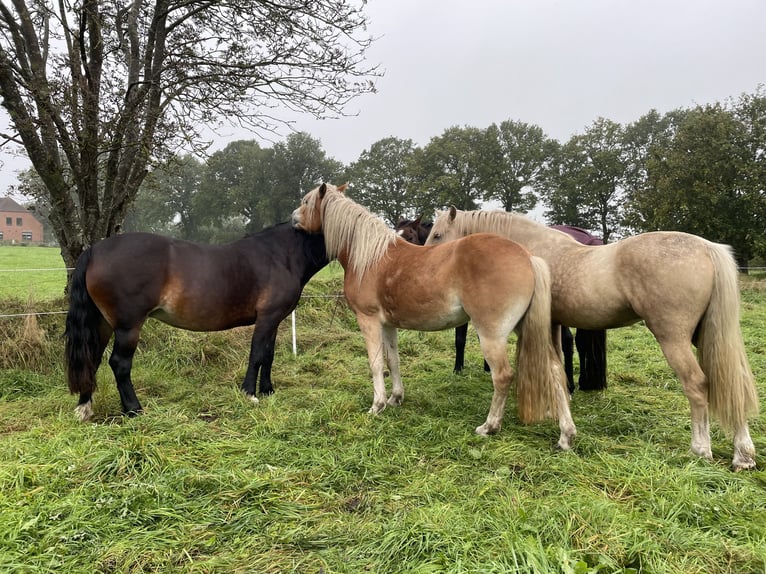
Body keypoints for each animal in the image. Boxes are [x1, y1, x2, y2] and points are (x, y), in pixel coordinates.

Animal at [65, 225, 328, 424]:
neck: (281, 255)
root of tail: (95, 251)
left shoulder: (274, 320)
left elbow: (268, 355)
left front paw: (268, 391)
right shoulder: (267, 318)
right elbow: (257, 354)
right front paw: (250, 395)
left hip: (102, 324)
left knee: (92, 359)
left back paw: (84, 408)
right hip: (128, 327)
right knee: (119, 364)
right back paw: (134, 409)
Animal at [292, 184, 576, 450]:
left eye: (305, 201)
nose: (294, 218)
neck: (369, 256)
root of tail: (528, 257)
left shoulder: (368, 320)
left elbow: (375, 364)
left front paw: (377, 405)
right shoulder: (388, 325)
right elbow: (393, 360)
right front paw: (396, 398)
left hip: (491, 335)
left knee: (503, 376)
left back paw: (489, 426)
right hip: (527, 329)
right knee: (554, 369)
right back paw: (565, 436)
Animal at [400, 218, 608, 394]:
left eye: (409, 236)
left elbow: (460, 339)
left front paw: (458, 369)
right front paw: (485, 367)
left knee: (568, 340)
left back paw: (571, 384)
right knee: (581, 342)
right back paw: (585, 382)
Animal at [428, 209, 760, 470]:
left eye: (437, 234)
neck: (529, 249)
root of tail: (707, 248)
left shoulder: (543, 325)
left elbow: (548, 369)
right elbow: (557, 371)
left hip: (673, 338)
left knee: (697, 384)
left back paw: (701, 449)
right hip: (705, 337)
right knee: (733, 381)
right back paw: (743, 455)